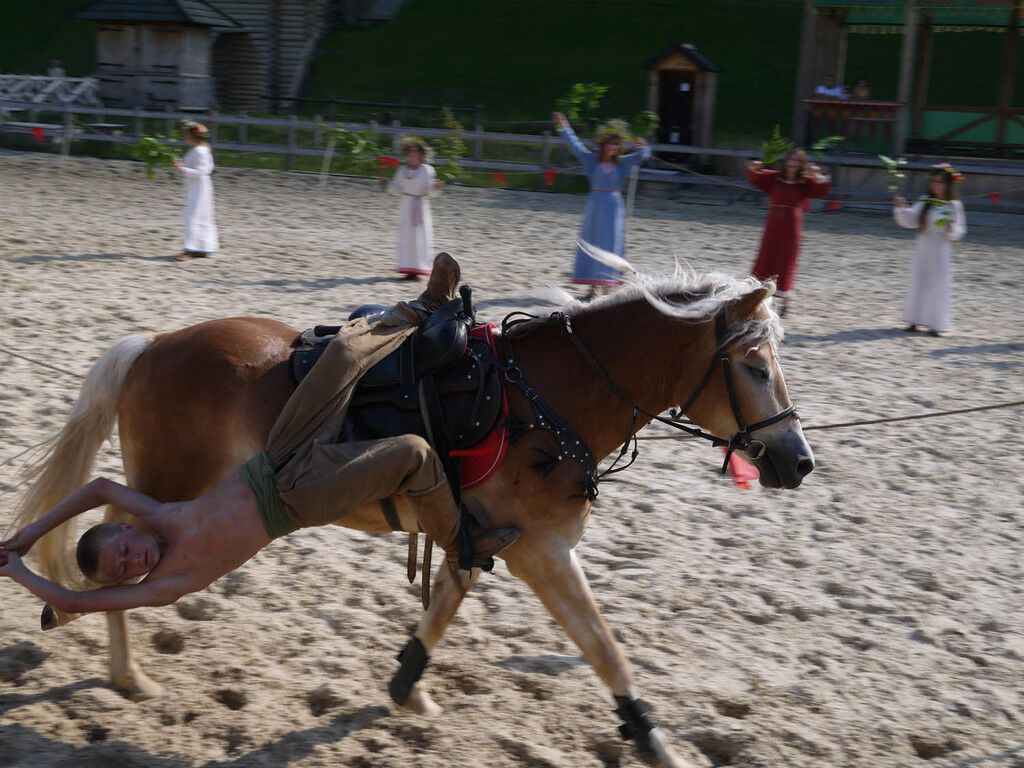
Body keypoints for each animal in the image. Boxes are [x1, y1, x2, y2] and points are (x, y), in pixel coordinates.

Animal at [14, 272, 815, 768]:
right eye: (753, 367)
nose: (798, 461)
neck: (544, 399)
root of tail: (152, 345)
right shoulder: (543, 549)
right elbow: (602, 644)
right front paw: (651, 740)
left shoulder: (483, 532)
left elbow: (449, 597)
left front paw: (408, 683)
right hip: (173, 482)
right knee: (121, 543)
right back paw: (125, 671)